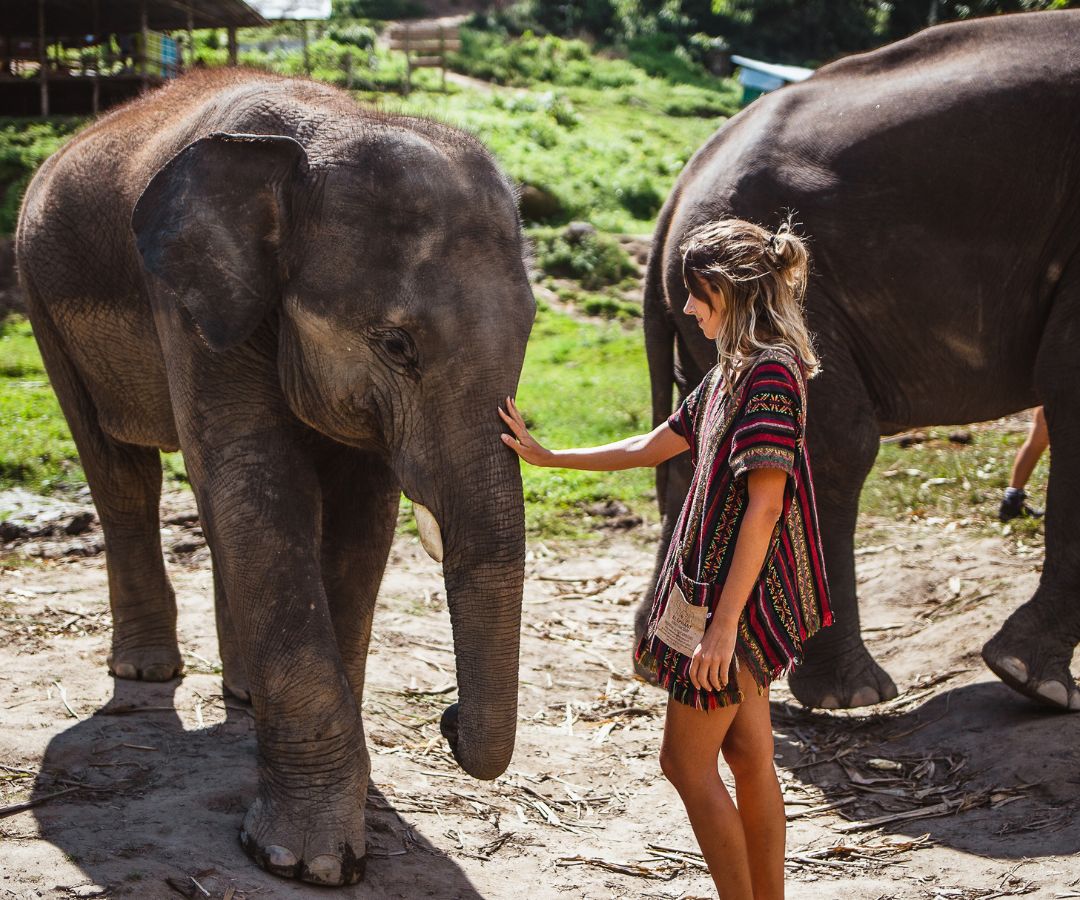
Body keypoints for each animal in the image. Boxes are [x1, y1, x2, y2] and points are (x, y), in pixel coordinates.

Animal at [19, 70, 533, 885]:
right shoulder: (188, 303)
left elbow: (359, 518)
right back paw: (146, 670)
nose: (447, 719)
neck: (328, 129)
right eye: (397, 345)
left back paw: (242, 692)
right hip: (41, 298)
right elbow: (260, 483)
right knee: (122, 474)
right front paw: (307, 863)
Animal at [639, 8, 1080, 708]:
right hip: (802, 294)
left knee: (698, 445)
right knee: (836, 442)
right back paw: (852, 695)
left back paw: (664, 668)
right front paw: (1037, 684)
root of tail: (680, 187)